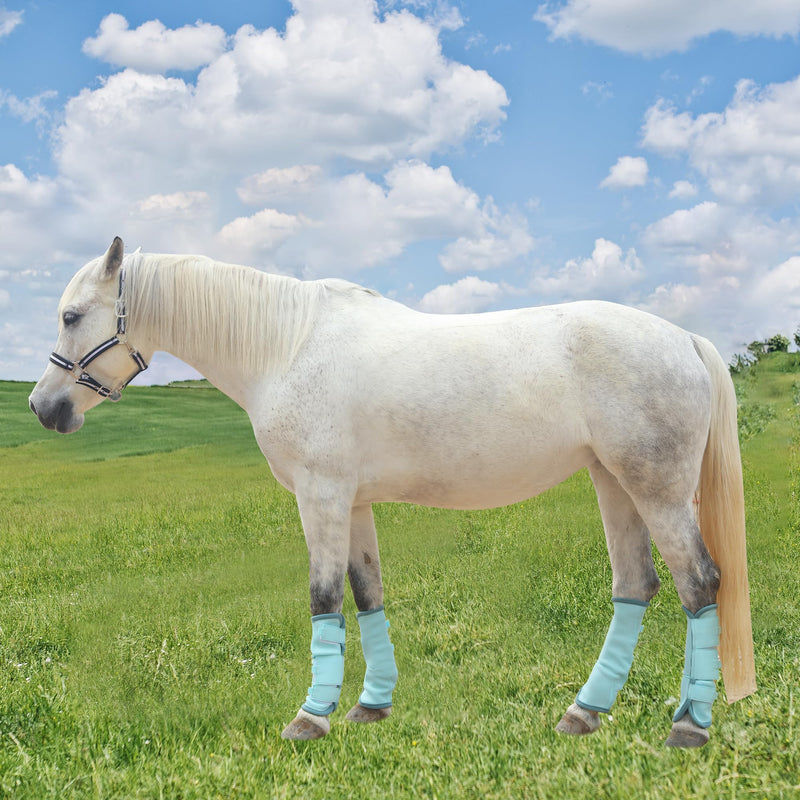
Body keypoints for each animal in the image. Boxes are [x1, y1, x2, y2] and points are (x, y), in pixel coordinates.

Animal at [29, 238, 756, 747]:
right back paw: (586, 714)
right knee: (637, 584)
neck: (286, 346)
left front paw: (310, 719)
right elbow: (366, 593)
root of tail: (685, 339)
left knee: (698, 582)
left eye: (72, 315)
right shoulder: (352, 503)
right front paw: (369, 707)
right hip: (614, 484)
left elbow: (324, 597)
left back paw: (689, 725)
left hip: (656, 490)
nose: (43, 407)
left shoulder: (321, 496)